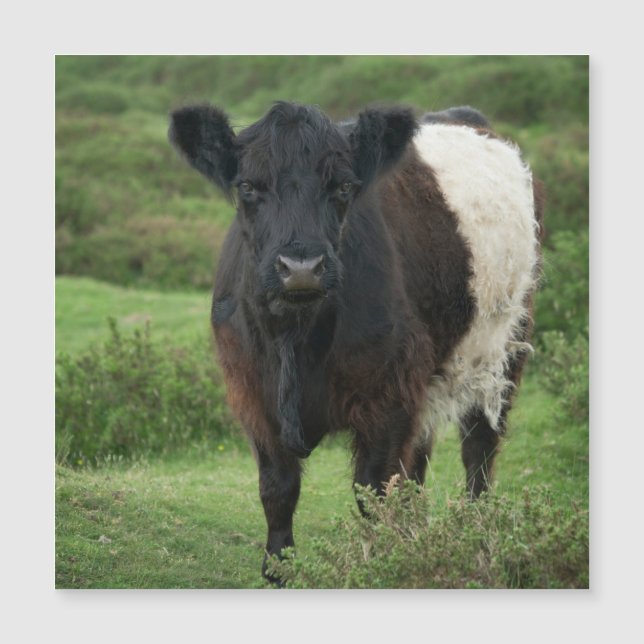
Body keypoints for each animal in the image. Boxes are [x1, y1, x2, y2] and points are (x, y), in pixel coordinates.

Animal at [169, 101, 542, 582]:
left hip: (503, 349)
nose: (302, 267)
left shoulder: (389, 393)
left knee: (479, 448)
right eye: (247, 186)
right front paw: (279, 569)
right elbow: (277, 487)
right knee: (419, 462)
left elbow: (375, 490)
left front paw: (384, 563)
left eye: (344, 186)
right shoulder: (252, 392)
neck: (297, 336)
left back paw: (477, 539)